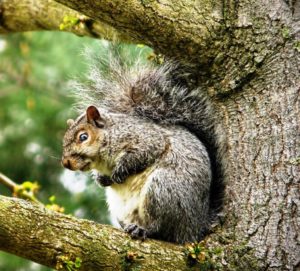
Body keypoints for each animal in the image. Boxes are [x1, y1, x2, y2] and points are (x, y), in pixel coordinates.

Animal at [61, 52, 225, 244]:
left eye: (83, 137)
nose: (66, 163)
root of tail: (196, 227)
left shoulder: (146, 139)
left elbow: (142, 154)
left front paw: (120, 171)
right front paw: (101, 179)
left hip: (164, 189)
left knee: (162, 228)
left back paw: (144, 229)